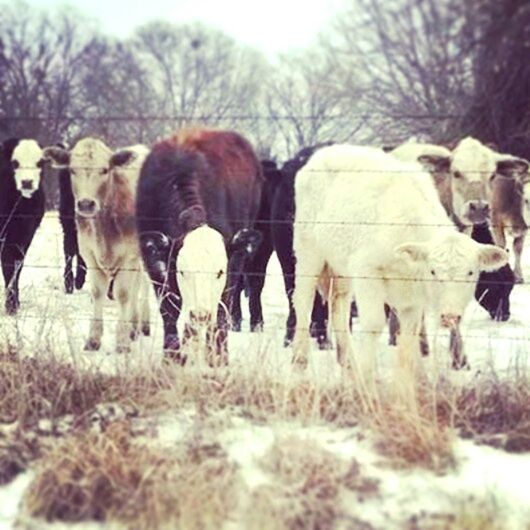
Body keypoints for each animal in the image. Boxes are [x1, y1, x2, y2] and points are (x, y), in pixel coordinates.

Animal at [0, 138, 45, 316]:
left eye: (40, 162)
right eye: (15, 163)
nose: (27, 182)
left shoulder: (24, 234)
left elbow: (16, 265)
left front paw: (14, 304)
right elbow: (8, 264)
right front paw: (11, 306)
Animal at [43, 137, 151, 350]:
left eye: (105, 170)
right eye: (72, 170)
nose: (86, 204)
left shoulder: (129, 256)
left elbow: (123, 293)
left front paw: (122, 341)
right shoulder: (89, 254)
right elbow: (98, 292)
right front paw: (94, 339)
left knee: (145, 284)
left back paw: (143, 324)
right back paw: (134, 325)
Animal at [290, 144, 506, 372]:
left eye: (471, 272)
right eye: (433, 271)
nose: (450, 316)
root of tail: (328, 151)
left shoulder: (413, 297)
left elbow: (410, 332)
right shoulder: (367, 272)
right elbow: (374, 325)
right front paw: (367, 374)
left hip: (341, 267)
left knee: (338, 304)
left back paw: (348, 361)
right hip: (308, 254)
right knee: (303, 300)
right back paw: (300, 358)